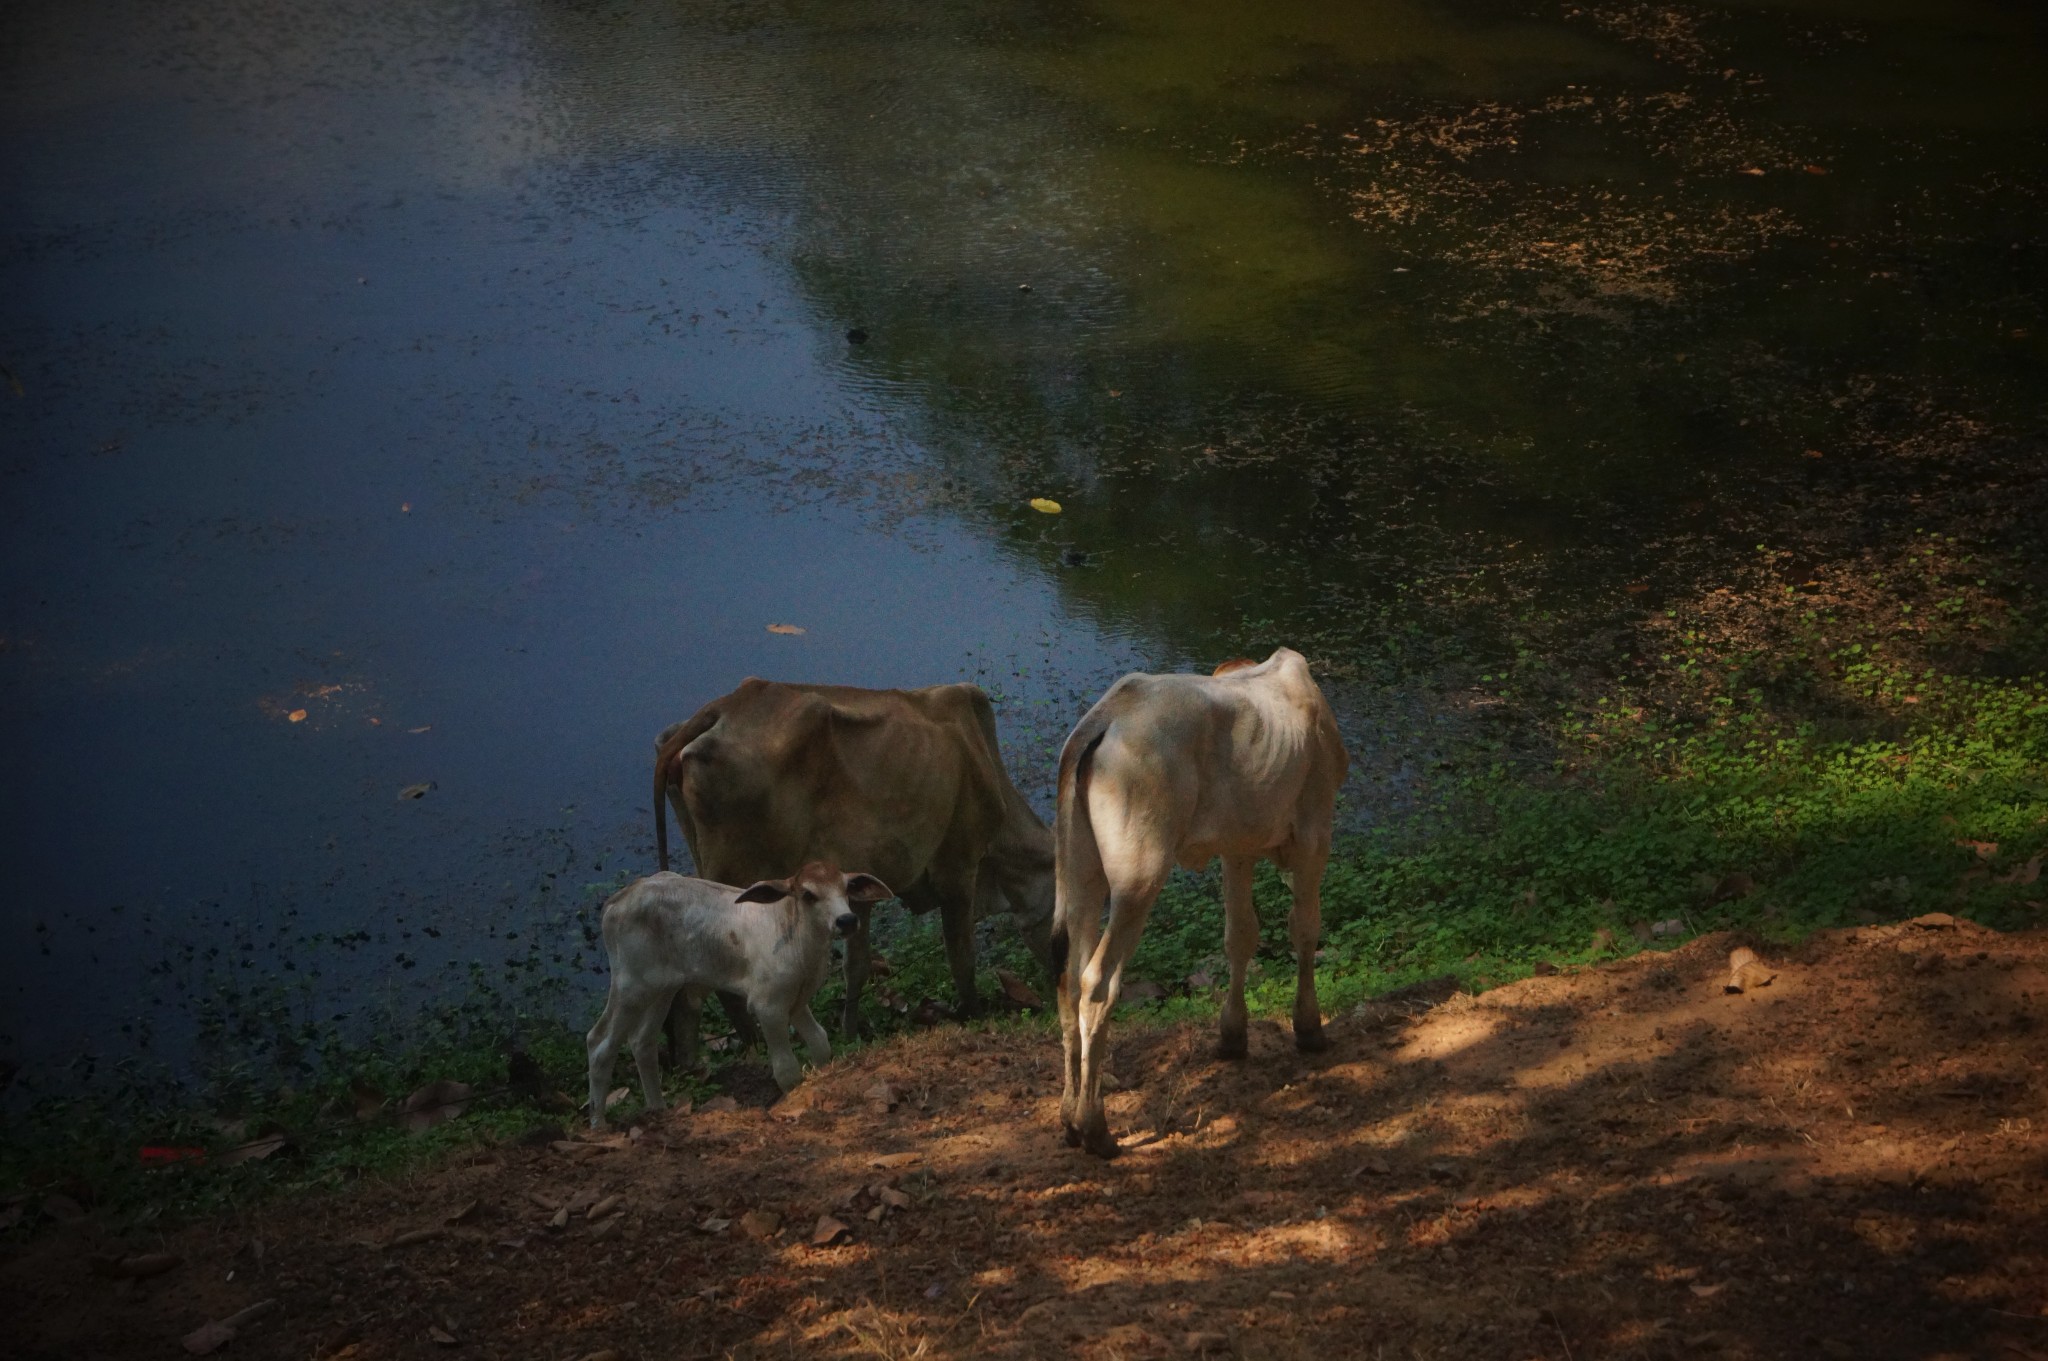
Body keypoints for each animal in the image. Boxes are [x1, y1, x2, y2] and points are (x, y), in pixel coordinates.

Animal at [585, 859, 888, 1121]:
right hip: (630, 987)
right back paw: (599, 1125)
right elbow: (786, 1070)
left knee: (642, 1042)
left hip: (661, 989)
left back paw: (659, 1111)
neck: (794, 937)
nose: (846, 920)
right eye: (808, 895)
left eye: (846, 888)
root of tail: (618, 900)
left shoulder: (797, 1003)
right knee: (599, 1043)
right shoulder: (768, 1005)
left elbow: (821, 1044)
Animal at [655, 675, 1064, 1035]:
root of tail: (724, 707)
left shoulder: (859, 889)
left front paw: (850, 1031)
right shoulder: (959, 867)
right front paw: (974, 1014)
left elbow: (858, 966)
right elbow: (962, 956)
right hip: (736, 876)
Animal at [1048, 650, 1351, 1154]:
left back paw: (1070, 1120)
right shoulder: (1314, 833)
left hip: (1079, 873)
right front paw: (1309, 1027)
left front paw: (1233, 1035)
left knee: (1069, 979)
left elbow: (1240, 935)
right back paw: (1096, 1129)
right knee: (1097, 984)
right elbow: (1305, 929)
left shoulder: (1236, 848)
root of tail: (1107, 715)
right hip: (1138, 877)